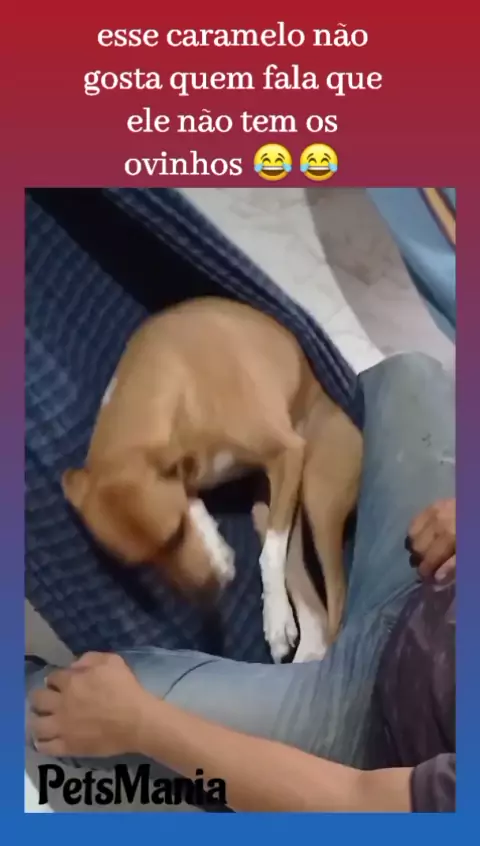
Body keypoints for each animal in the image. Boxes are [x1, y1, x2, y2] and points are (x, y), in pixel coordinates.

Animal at [62, 297, 363, 661]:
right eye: (145, 564)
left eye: (176, 532)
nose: (210, 591)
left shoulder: (288, 453)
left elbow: (267, 557)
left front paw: (275, 620)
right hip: (268, 510)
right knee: (314, 610)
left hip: (319, 500)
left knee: (336, 605)